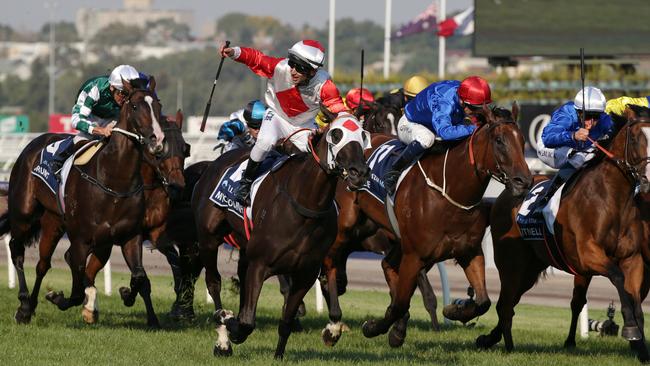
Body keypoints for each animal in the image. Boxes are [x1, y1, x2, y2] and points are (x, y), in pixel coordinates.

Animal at [3, 79, 165, 326]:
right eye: (136, 106)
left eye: (158, 106)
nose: (158, 140)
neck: (114, 181)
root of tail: (33, 144)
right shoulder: (81, 239)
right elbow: (77, 290)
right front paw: (57, 298)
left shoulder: (130, 236)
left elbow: (139, 276)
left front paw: (133, 300)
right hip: (24, 213)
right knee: (17, 250)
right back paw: (23, 306)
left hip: (54, 221)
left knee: (43, 264)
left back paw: (31, 306)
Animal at [190, 113, 368, 358]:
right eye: (336, 134)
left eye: (363, 135)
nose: (359, 172)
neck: (305, 205)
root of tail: (213, 163)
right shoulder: (260, 263)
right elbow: (246, 323)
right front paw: (229, 323)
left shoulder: (305, 273)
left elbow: (285, 321)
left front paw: (279, 354)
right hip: (208, 238)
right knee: (213, 282)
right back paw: (223, 338)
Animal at [342, 105, 528, 346]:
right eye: (499, 140)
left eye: (522, 141)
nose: (524, 181)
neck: (449, 192)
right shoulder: (414, 256)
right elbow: (399, 304)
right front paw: (375, 328)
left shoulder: (469, 251)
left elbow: (483, 301)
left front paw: (455, 310)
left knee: (387, 265)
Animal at [474, 107, 648, 362]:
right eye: (635, 138)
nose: (647, 177)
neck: (612, 199)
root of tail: (506, 194)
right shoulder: (589, 255)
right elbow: (617, 278)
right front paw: (631, 329)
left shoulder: (632, 259)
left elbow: (635, 299)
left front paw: (641, 347)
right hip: (511, 264)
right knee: (504, 305)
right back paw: (508, 346)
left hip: (531, 267)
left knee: (511, 302)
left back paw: (489, 339)